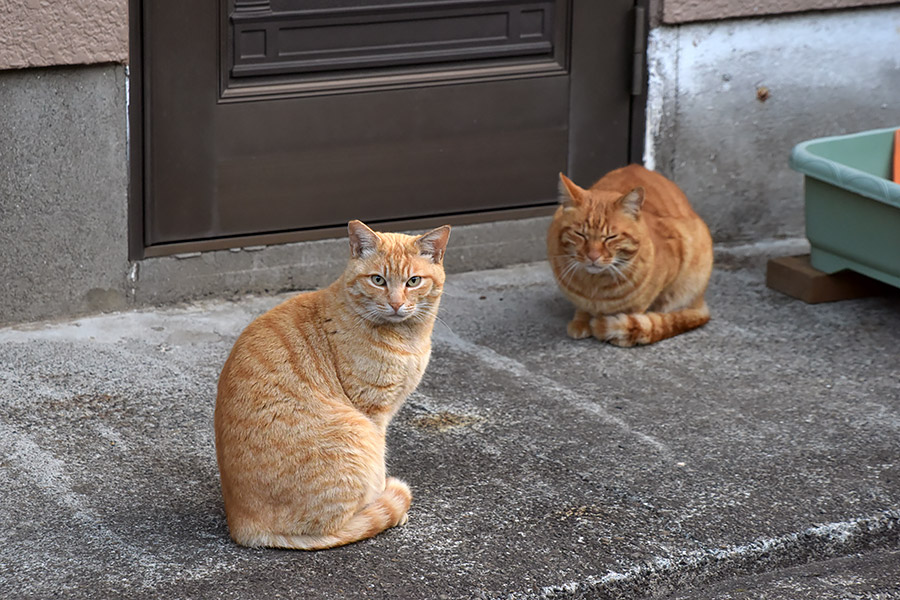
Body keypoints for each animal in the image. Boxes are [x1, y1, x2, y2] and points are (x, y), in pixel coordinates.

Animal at [215, 219, 454, 548]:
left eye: (414, 281)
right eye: (378, 280)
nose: (395, 303)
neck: (407, 338)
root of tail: (240, 525)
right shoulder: (373, 413)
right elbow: (380, 466)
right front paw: (384, 501)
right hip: (358, 431)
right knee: (334, 529)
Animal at [548, 166, 712, 350]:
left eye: (611, 237)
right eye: (580, 234)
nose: (593, 256)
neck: (595, 286)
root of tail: (700, 301)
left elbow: (637, 308)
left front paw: (625, 327)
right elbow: (581, 307)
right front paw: (581, 320)